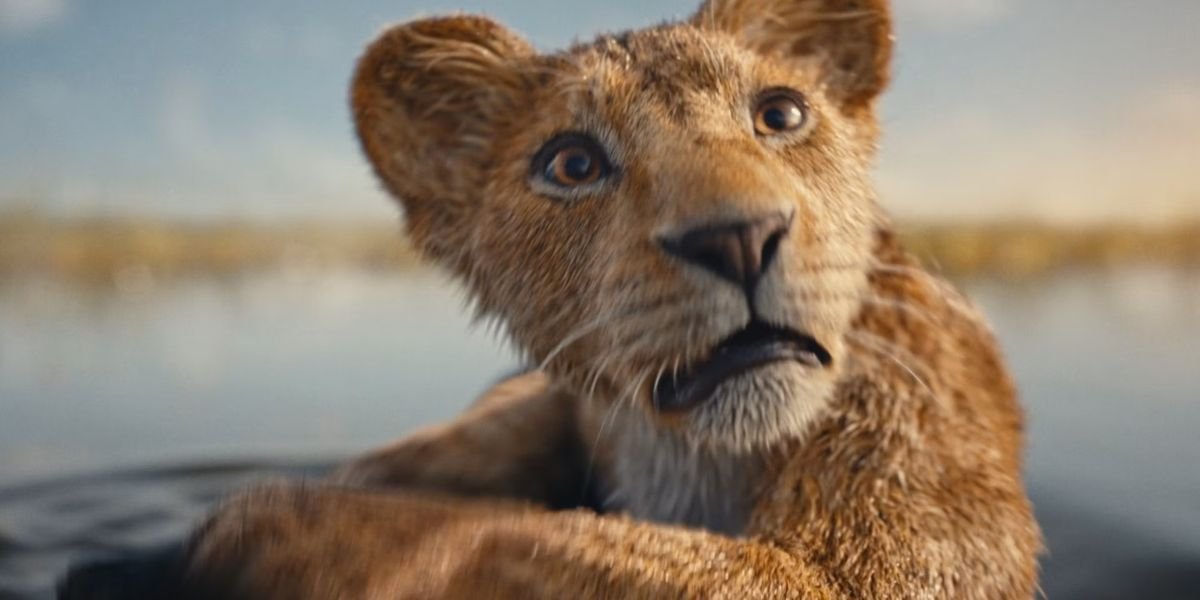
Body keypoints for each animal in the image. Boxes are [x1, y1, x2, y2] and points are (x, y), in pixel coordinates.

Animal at [60, 0, 1042, 598]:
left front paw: (262, 529)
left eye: (781, 114)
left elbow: (497, 537)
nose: (738, 237)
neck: (689, 456)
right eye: (572, 163)